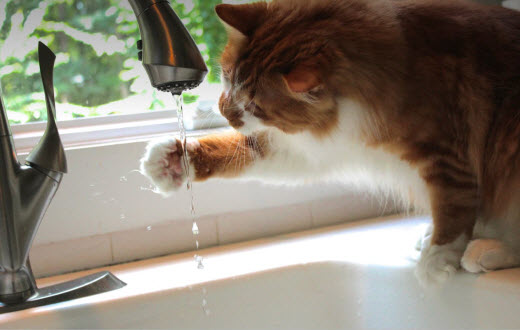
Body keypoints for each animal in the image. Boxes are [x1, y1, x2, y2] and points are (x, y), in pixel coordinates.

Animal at [139, 0, 520, 286]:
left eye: (255, 106)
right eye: (227, 77)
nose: (223, 110)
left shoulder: (445, 154)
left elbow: (453, 208)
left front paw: (437, 259)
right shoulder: (311, 146)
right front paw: (172, 160)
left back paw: (480, 252)